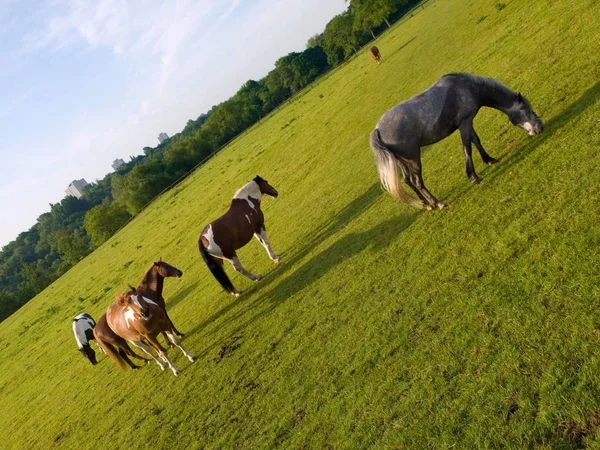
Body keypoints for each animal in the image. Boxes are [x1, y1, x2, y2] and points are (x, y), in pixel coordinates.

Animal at [370, 72, 544, 209]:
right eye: (528, 110)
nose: (540, 127)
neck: (468, 87)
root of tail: (378, 130)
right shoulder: (464, 123)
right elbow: (467, 147)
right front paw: (473, 176)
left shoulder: (468, 121)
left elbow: (476, 140)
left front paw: (489, 159)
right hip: (413, 158)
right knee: (417, 181)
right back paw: (438, 203)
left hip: (402, 161)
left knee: (408, 181)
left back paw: (427, 204)